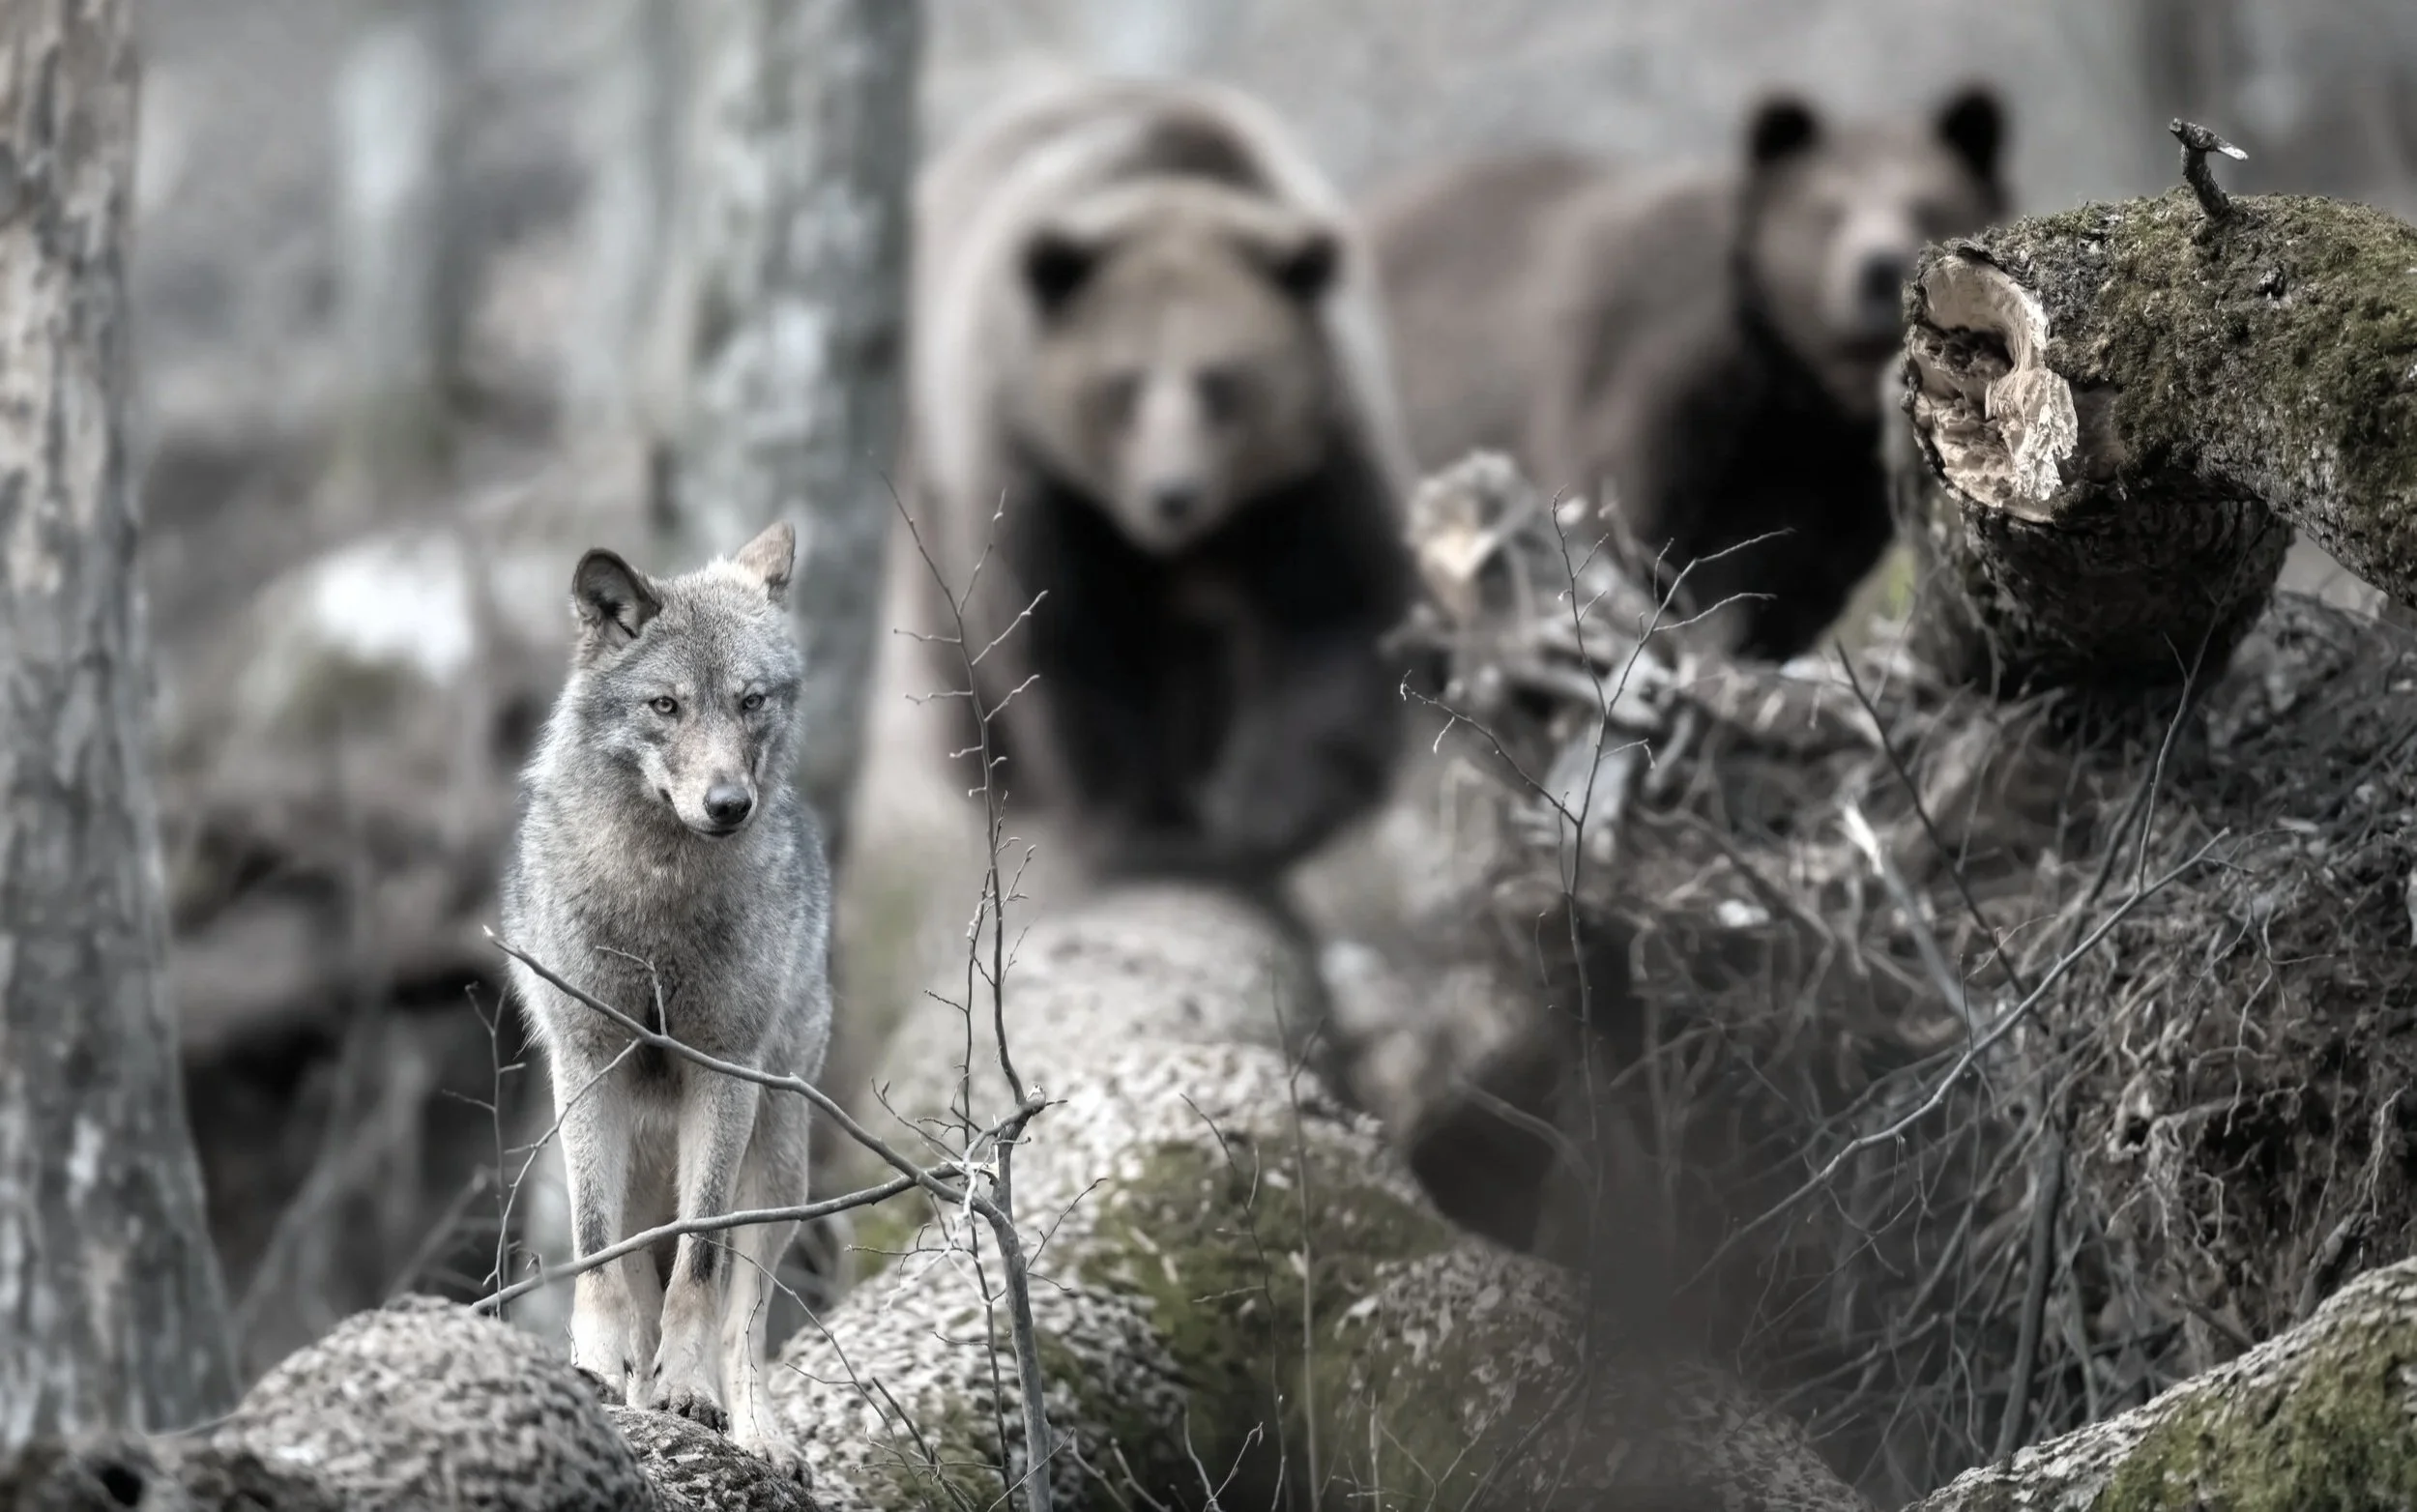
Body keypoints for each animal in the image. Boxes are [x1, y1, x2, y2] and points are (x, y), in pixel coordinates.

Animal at [500, 520, 829, 1476]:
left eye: (750, 701)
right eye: (666, 706)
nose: (727, 804)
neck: (658, 898)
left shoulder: (723, 1068)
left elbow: (702, 1265)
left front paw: (688, 1394)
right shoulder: (587, 1062)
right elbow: (600, 1246)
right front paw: (596, 1368)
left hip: (779, 1163)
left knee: (743, 1319)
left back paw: (753, 1432)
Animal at [901, 77, 1418, 884]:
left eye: (1222, 382)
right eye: (1122, 386)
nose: (1172, 496)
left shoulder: (1309, 469)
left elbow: (1333, 615)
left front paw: (1269, 811)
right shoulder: (1045, 479)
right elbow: (1072, 644)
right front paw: (1149, 828)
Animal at [1364, 88, 2009, 660]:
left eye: (1926, 202)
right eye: (1828, 209)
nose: (1876, 270)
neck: (1796, 389)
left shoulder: (1833, 484)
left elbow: (1778, 594)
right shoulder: (1645, 381)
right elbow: (1624, 533)